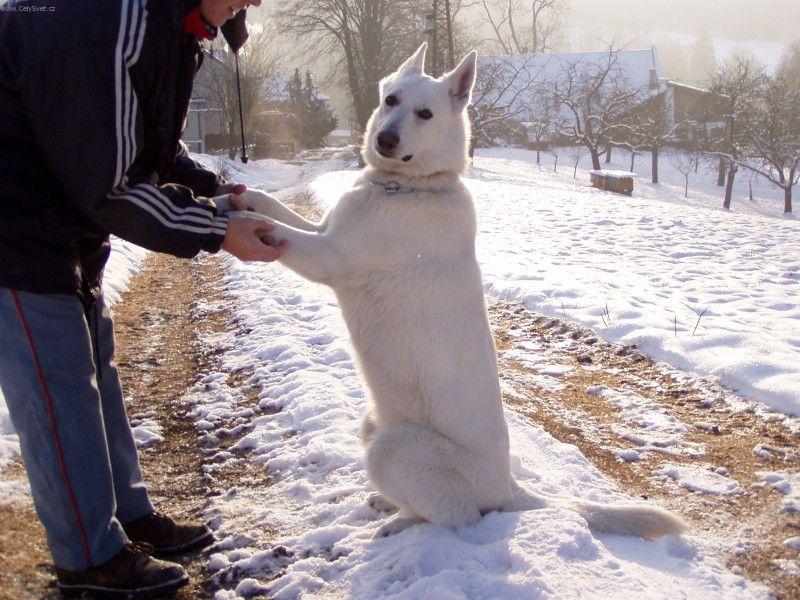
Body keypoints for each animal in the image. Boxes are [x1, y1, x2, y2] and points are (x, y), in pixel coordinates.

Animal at [219, 42, 688, 540]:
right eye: (391, 100)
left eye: (425, 114)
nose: (386, 139)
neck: (404, 187)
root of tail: (508, 488)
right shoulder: (324, 232)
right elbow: (276, 208)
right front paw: (236, 197)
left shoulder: (328, 255)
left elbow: (276, 229)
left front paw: (235, 221)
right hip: (372, 424)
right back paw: (389, 506)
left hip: (391, 446)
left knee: (454, 517)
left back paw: (400, 525)